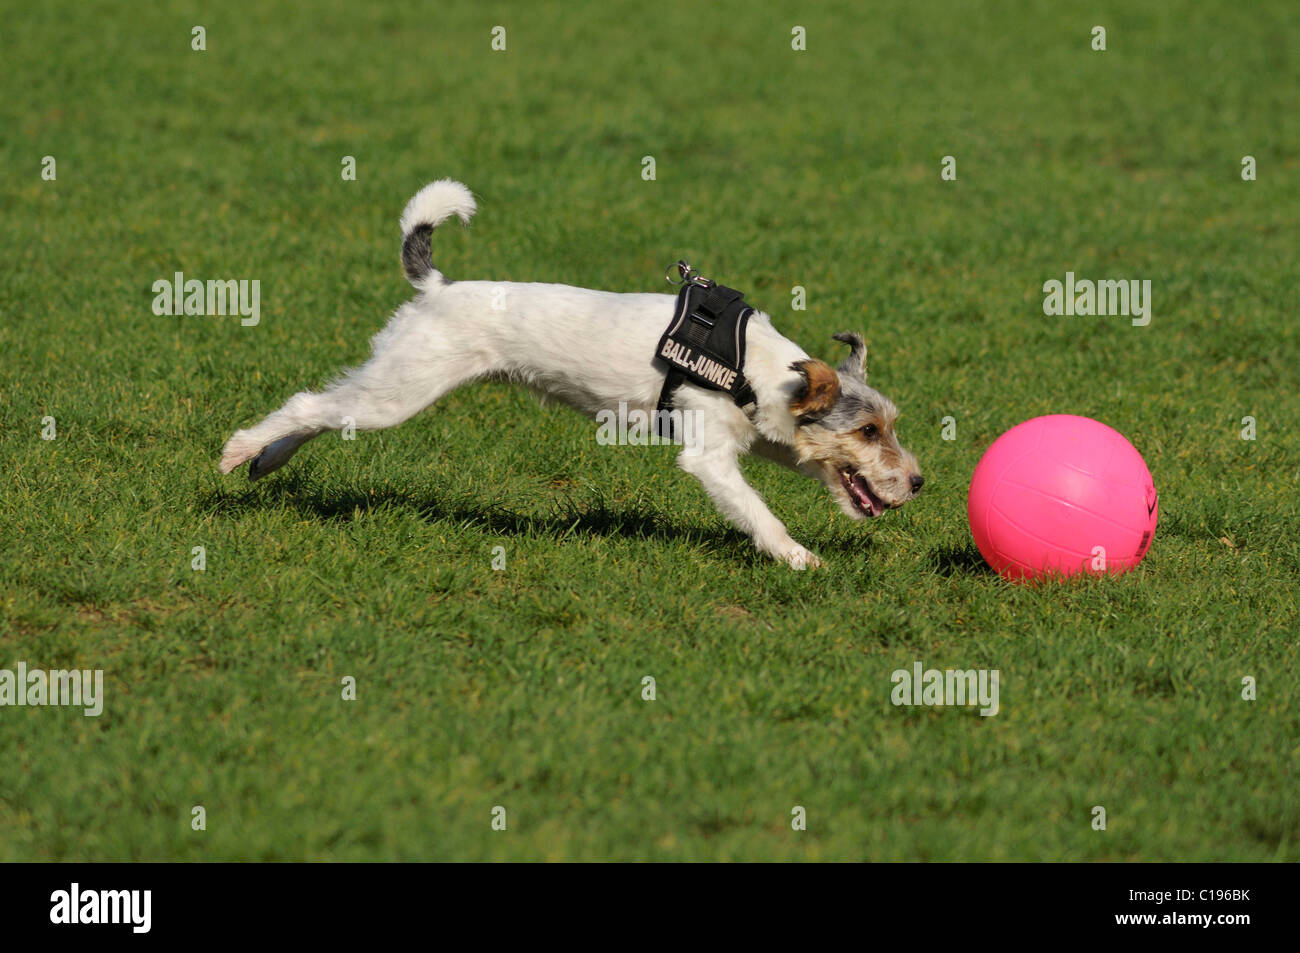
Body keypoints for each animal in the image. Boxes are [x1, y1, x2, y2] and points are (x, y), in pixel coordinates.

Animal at [215, 179, 925, 564]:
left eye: (889, 428)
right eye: (867, 433)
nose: (919, 482)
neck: (756, 370)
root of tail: (438, 287)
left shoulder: (756, 437)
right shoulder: (710, 458)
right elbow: (759, 513)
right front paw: (799, 557)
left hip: (389, 384)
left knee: (322, 410)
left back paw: (267, 462)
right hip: (401, 389)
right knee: (308, 404)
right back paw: (240, 451)